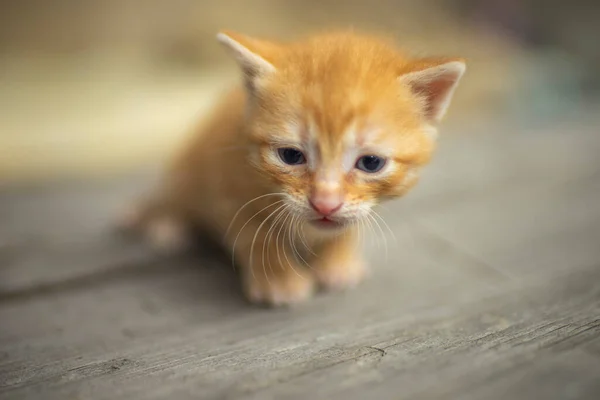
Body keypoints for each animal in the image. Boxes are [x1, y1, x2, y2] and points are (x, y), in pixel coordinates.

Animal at [117, 30, 464, 306]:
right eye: (290, 156)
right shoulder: (226, 186)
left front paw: (338, 264)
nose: (325, 204)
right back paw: (165, 224)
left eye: (370, 163)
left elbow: (344, 228)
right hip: (187, 165)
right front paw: (280, 282)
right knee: (174, 195)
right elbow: (258, 237)